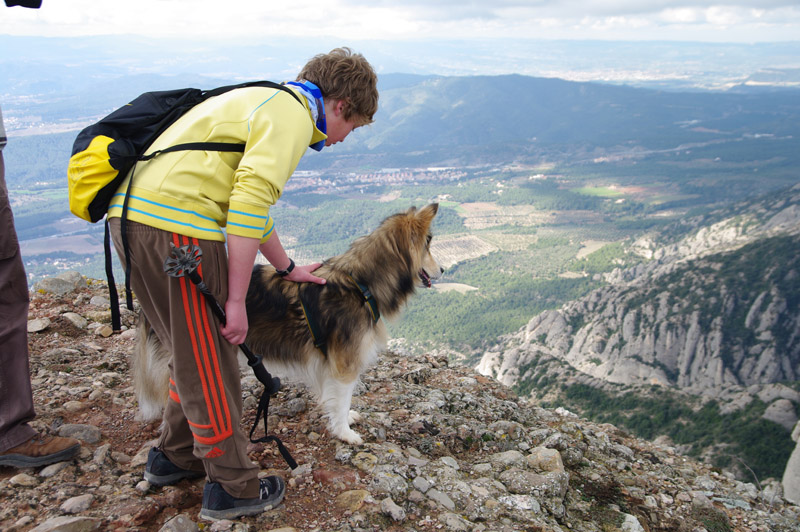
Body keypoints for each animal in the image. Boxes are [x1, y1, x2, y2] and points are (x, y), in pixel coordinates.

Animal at [134, 204, 440, 444]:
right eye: (428, 244)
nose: (444, 270)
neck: (360, 283)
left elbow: (335, 398)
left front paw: (345, 418)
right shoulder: (345, 364)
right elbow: (342, 398)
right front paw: (344, 433)